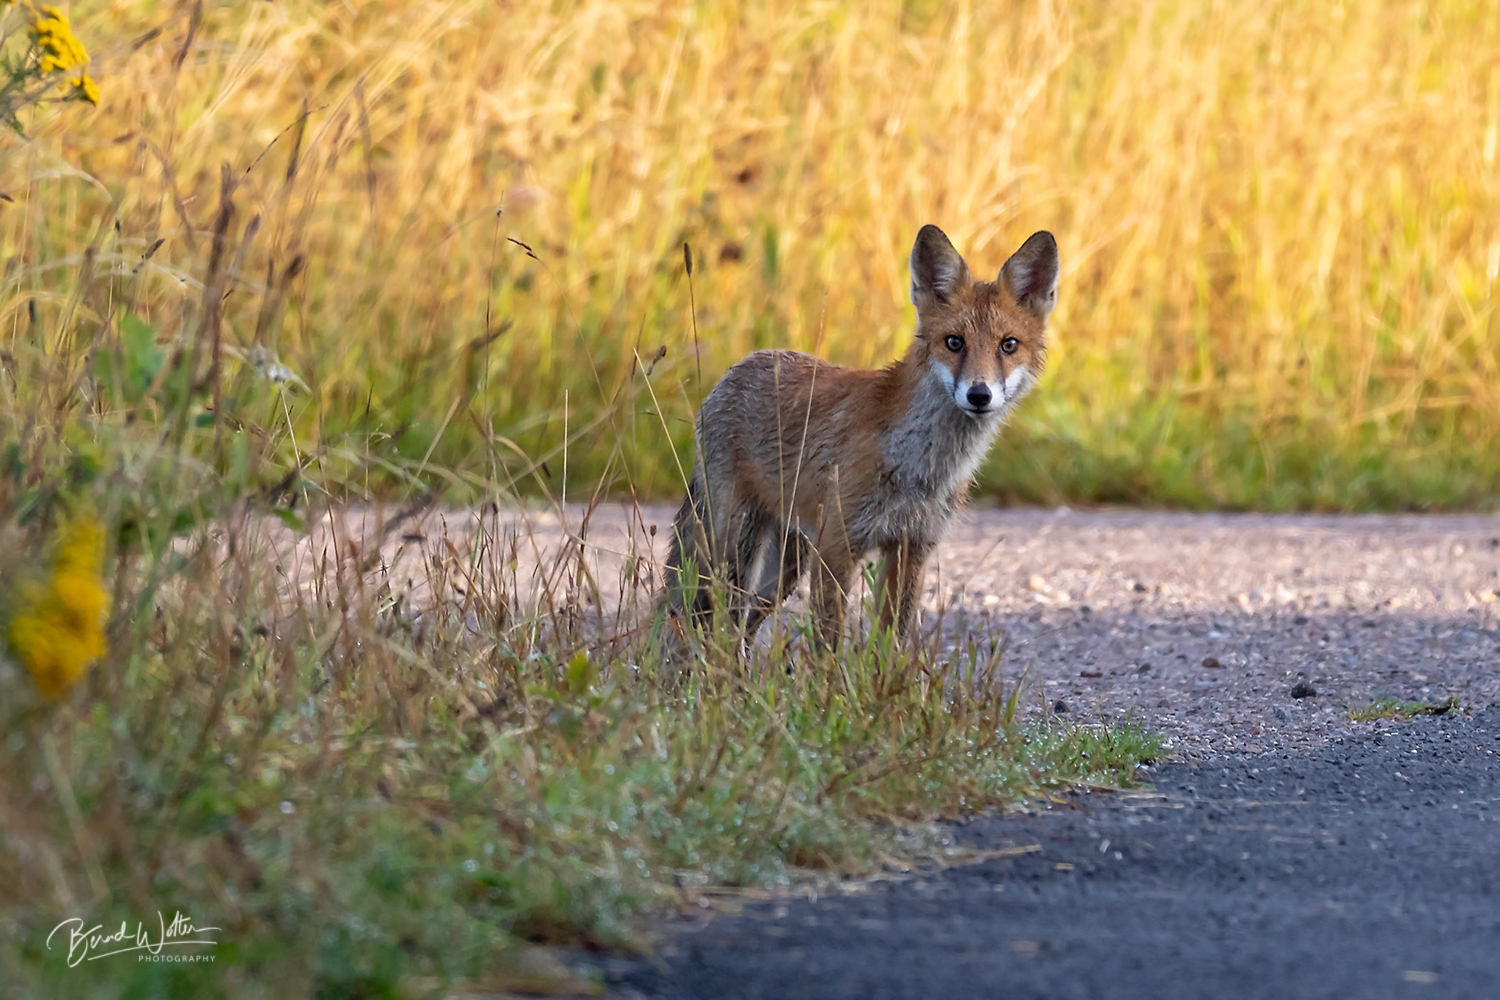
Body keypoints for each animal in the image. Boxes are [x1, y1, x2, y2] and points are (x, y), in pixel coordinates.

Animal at [657, 229, 1056, 656]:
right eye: (954, 342)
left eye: (1008, 345)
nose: (979, 395)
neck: (919, 468)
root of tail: (736, 369)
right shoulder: (837, 546)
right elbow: (827, 647)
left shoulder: (912, 546)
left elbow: (891, 643)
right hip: (737, 547)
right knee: (712, 622)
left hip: (786, 567)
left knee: (738, 627)